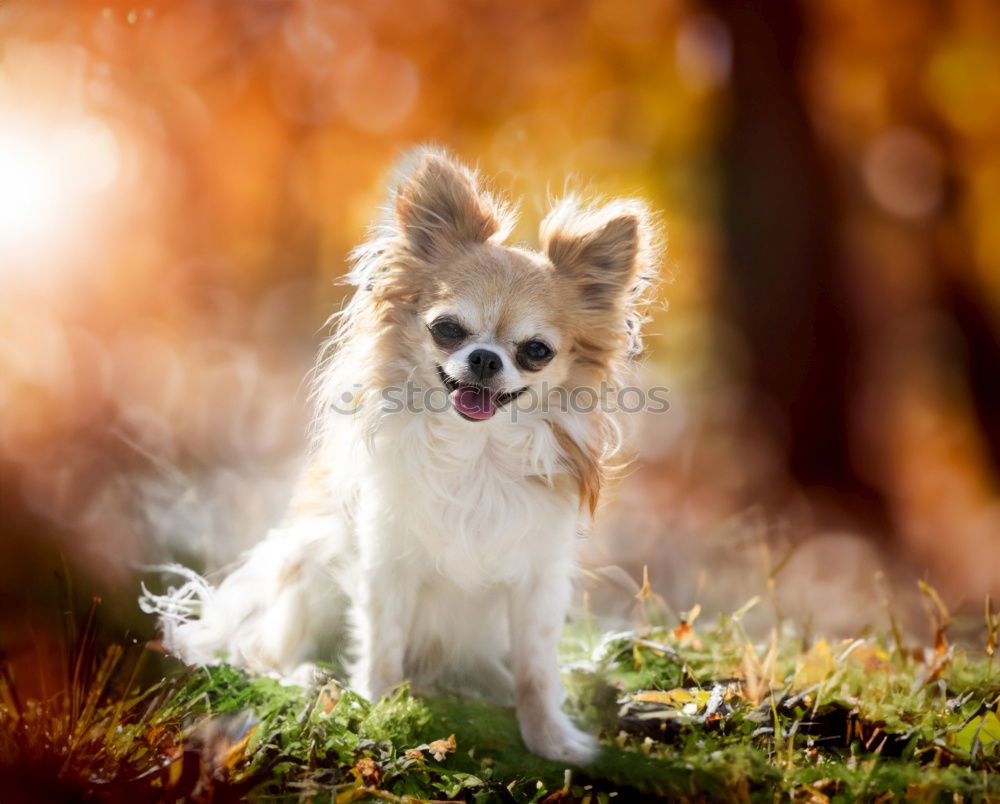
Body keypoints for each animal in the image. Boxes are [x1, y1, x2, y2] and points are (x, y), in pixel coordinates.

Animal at [141, 148, 656, 764]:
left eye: (536, 351)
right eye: (447, 329)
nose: (484, 358)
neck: (475, 452)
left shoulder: (536, 580)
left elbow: (536, 668)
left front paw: (550, 736)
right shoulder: (385, 561)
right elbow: (382, 642)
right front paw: (379, 706)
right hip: (310, 561)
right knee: (261, 652)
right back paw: (310, 675)